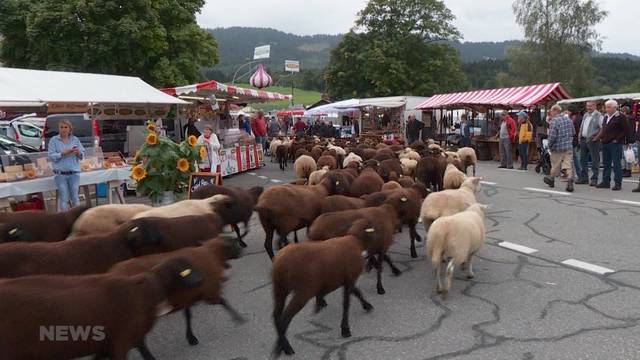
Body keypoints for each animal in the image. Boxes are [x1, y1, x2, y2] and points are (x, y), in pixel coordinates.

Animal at [109, 236, 244, 346]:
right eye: (233, 244)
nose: (242, 252)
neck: (211, 254)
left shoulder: (188, 296)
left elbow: (188, 316)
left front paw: (191, 337)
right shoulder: (209, 292)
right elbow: (223, 302)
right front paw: (238, 318)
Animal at [272, 218, 378, 356]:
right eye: (372, 228)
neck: (356, 241)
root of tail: (280, 262)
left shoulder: (345, 279)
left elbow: (357, 292)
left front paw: (367, 305)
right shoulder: (350, 278)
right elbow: (346, 304)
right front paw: (345, 329)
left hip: (280, 289)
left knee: (276, 316)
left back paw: (280, 346)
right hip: (302, 292)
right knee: (285, 319)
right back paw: (285, 348)